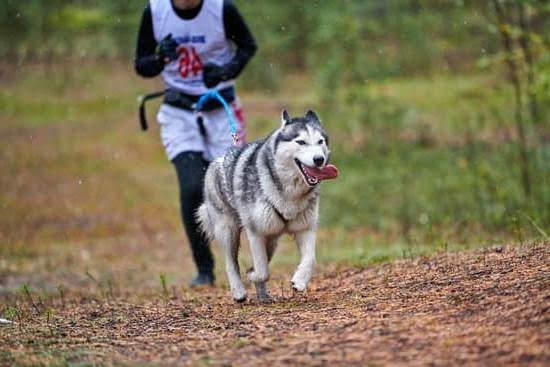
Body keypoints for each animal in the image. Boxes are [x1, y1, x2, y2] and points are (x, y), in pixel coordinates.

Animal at [196, 109, 338, 302]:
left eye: (320, 141)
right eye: (301, 142)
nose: (319, 159)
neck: (290, 192)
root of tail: (217, 161)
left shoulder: (305, 228)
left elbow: (311, 259)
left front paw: (299, 281)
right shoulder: (256, 232)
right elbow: (262, 270)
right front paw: (252, 275)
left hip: (272, 238)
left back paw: (263, 296)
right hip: (228, 230)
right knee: (231, 263)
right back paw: (239, 291)